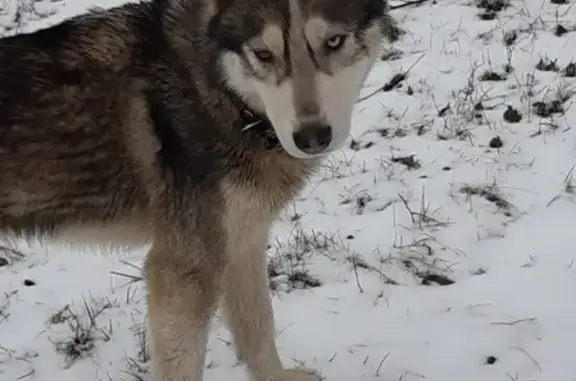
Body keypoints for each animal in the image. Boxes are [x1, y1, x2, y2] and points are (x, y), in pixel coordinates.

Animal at [0, 0, 394, 378]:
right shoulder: (182, 268)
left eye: (334, 41)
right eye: (263, 54)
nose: (311, 138)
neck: (220, 94)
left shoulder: (243, 242)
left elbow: (258, 328)